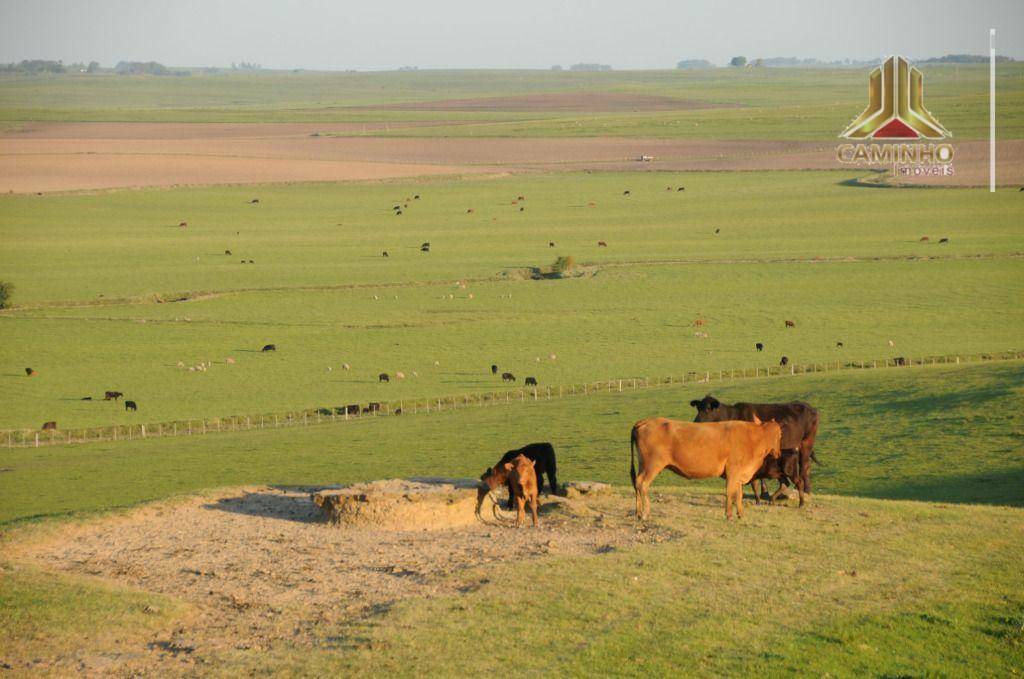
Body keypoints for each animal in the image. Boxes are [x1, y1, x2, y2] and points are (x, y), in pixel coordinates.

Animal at [622, 413, 782, 520]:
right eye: (780, 435)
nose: (779, 453)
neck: (753, 438)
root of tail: (646, 421)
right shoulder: (733, 470)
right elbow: (730, 492)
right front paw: (729, 515)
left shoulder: (739, 474)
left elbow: (739, 494)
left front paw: (740, 514)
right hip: (652, 465)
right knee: (642, 484)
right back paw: (645, 513)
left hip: (643, 464)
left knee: (636, 482)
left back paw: (638, 512)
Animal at [688, 393, 823, 503]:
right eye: (698, 408)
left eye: (708, 409)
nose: (695, 422)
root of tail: (809, 407)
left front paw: (763, 493)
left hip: (807, 442)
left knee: (804, 465)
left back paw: (805, 491)